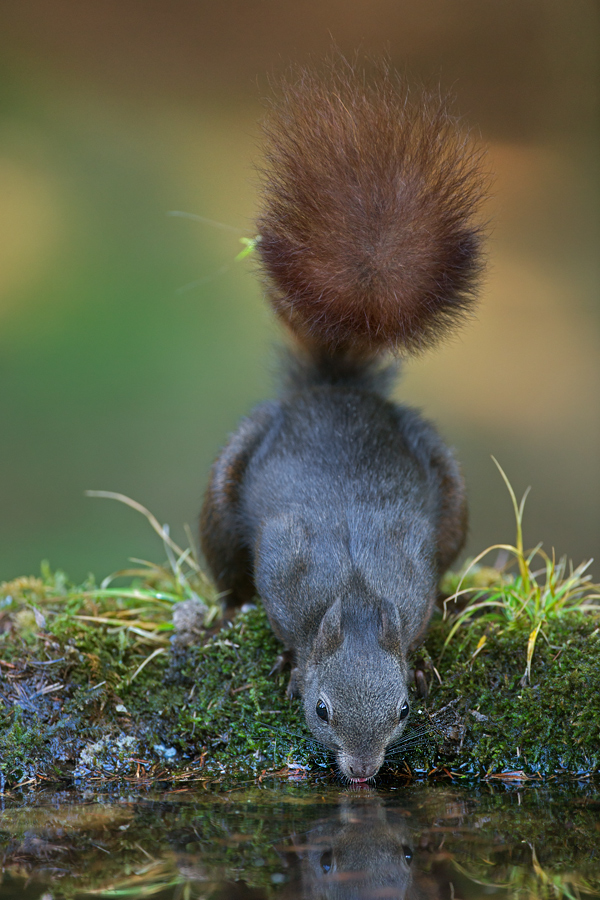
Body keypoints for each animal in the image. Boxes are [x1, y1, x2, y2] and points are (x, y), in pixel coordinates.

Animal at [199, 59, 486, 784]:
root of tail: (335, 391)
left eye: (404, 710)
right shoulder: (287, 564)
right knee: (225, 569)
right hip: (223, 491)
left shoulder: (410, 572)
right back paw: (224, 609)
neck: (354, 596)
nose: (360, 773)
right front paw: (288, 664)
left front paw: (426, 658)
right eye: (322, 710)